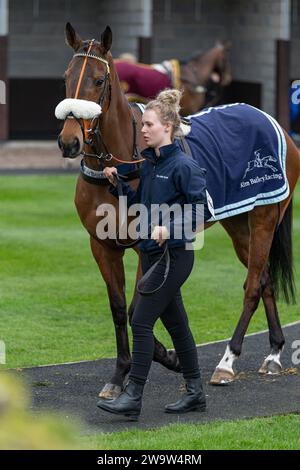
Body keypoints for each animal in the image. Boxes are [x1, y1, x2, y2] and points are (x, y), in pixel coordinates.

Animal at [56, 23, 300, 398]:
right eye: (66, 78)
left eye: (98, 80)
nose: (69, 142)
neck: (123, 163)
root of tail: (275, 124)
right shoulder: (102, 246)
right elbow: (118, 309)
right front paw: (120, 373)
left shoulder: (147, 244)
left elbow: (136, 307)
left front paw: (166, 356)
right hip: (239, 224)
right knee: (264, 278)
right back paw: (273, 352)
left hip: (265, 217)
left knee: (252, 286)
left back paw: (227, 361)